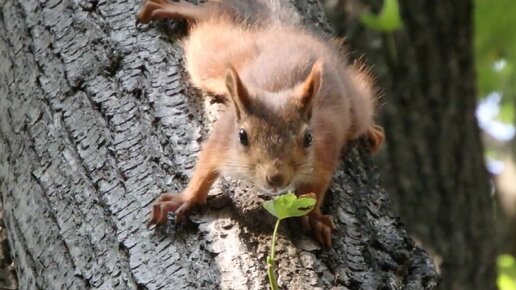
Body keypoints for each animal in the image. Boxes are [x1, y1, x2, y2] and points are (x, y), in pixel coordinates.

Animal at [135, 0, 384, 249]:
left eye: (308, 138)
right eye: (242, 135)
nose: (276, 178)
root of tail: (283, 34)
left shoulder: (324, 153)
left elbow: (315, 192)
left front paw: (314, 218)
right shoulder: (222, 140)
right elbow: (204, 168)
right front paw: (184, 199)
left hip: (354, 108)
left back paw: (371, 130)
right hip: (214, 61)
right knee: (211, 19)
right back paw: (179, 9)